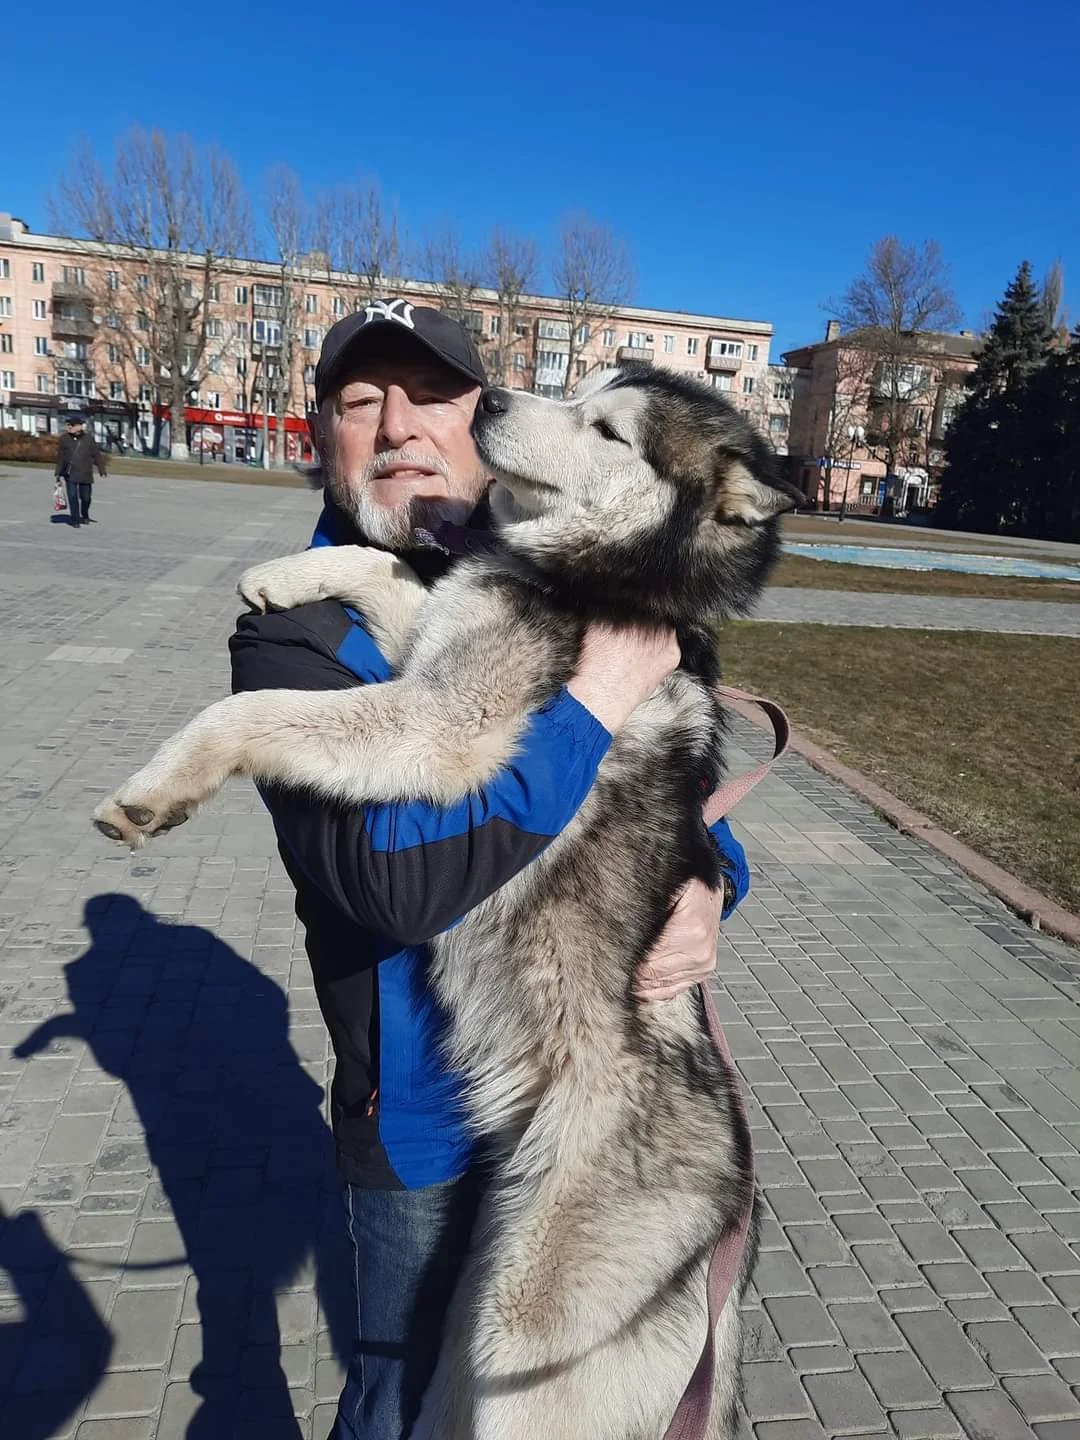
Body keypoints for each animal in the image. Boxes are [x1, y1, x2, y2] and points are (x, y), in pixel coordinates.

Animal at [95, 371, 806, 1440]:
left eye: (607, 428)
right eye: (584, 385)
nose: (493, 399)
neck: (600, 583)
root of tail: (731, 1217)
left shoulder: (444, 726)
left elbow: (254, 709)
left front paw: (156, 788)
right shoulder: (430, 656)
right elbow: (392, 573)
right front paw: (286, 575)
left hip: (526, 1356)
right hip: (469, 1342)